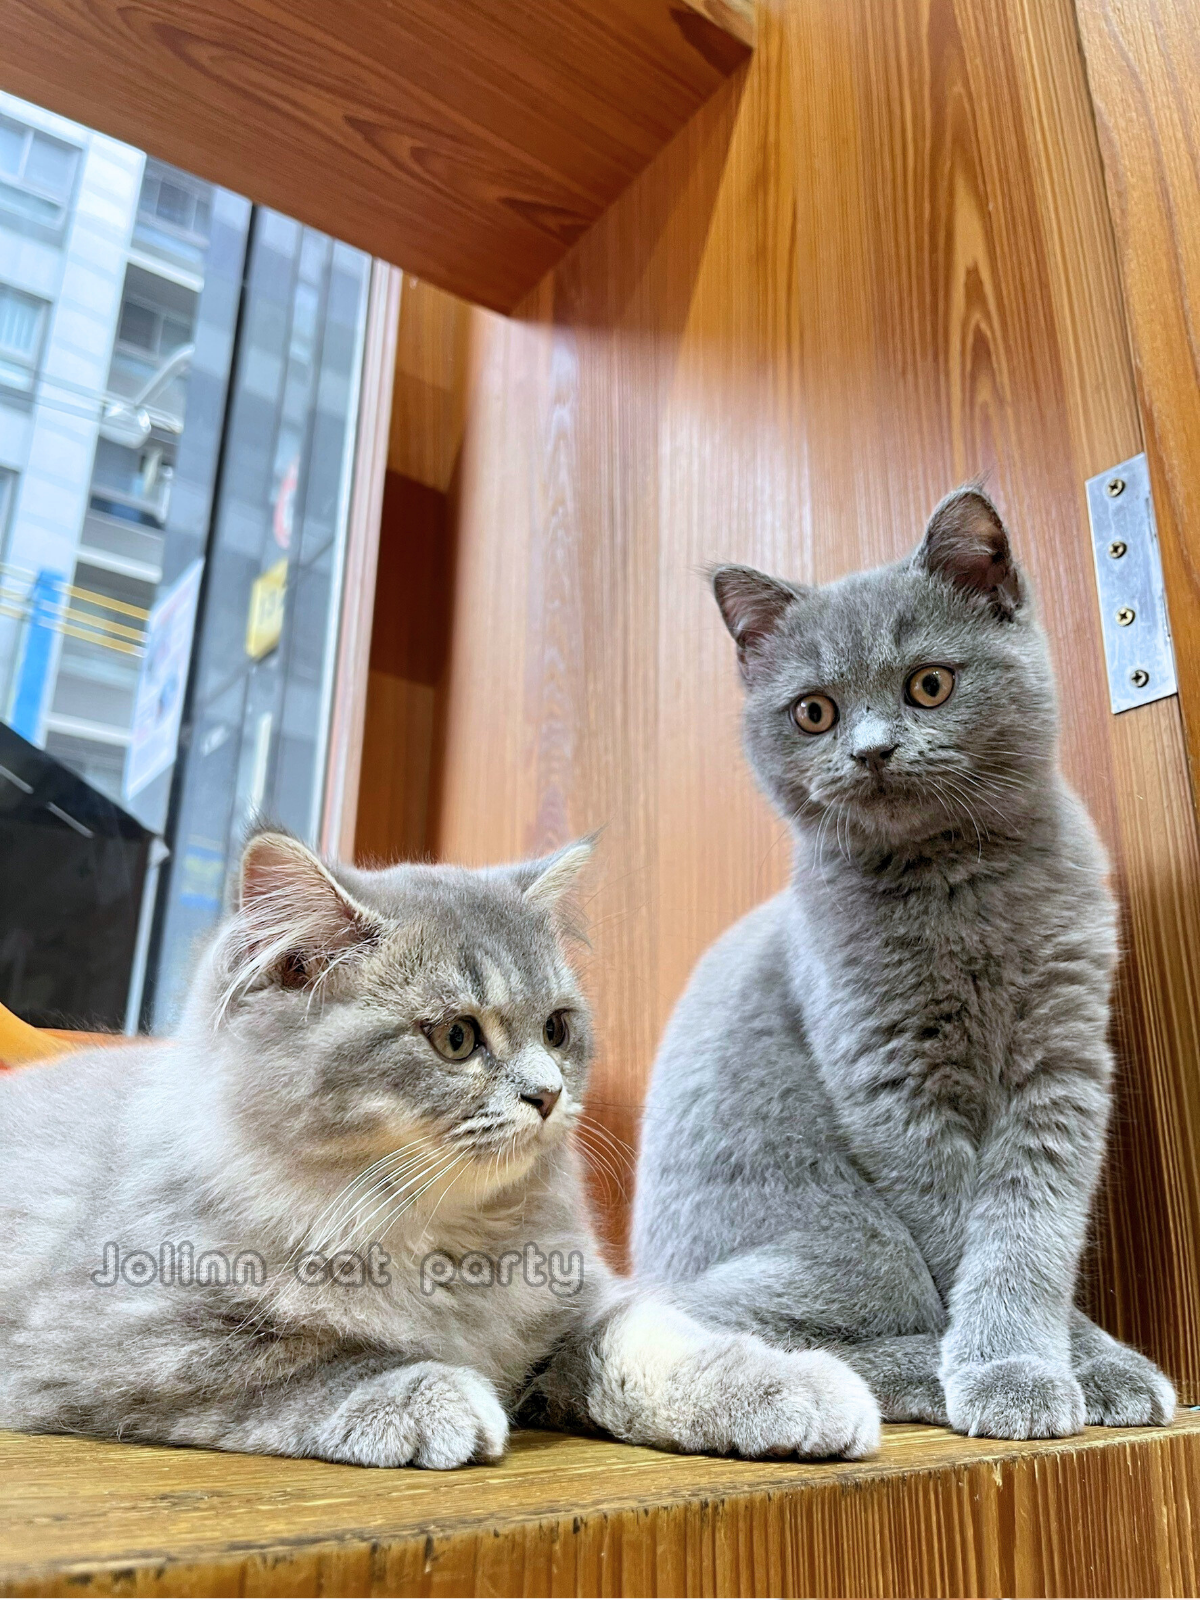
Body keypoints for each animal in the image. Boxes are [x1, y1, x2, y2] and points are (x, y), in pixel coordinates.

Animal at [0, 830, 878, 1467]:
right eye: (457, 1038)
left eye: (557, 1029)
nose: (547, 1095)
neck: (447, 1243)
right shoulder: (124, 1341)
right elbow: (316, 1364)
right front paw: (431, 1397)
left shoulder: (579, 1306)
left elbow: (663, 1344)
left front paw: (794, 1388)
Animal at [632, 486, 1176, 1440]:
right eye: (814, 711)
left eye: (930, 684)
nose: (872, 751)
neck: (953, 888)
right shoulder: (891, 1083)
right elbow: (968, 1240)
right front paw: (1015, 1371)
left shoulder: (1062, 1066)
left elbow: (1031, 1230)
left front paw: (1088, 1362)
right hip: (853, 1237)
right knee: (702, 1323)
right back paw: (919, 1367)